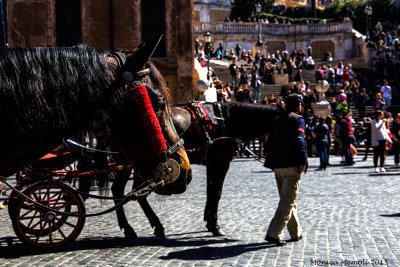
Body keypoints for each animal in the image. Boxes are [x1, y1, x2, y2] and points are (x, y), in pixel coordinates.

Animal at [108, 102, 280, 239]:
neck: (227, 121)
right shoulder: (220, 163)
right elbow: (216, 193)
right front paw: (215, 225)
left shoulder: (213, 164)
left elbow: (211, 191)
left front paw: (209, 222)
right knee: (126, 191)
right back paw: (134, 228)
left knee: (130, 192)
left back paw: (148, 226)